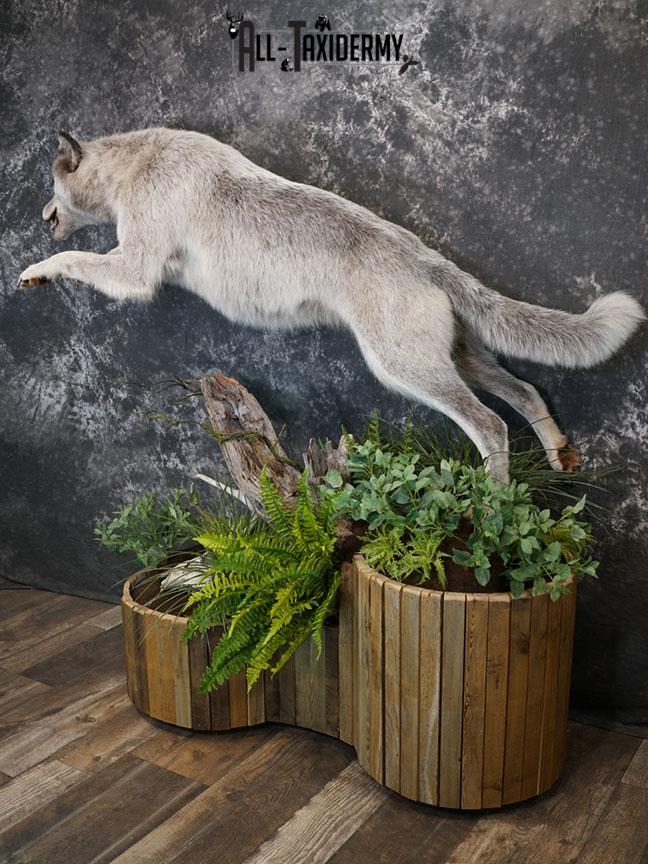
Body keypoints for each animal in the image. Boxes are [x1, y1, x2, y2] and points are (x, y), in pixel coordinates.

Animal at [19, 128, 644, 483]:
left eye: (51, 189)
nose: (43, 215)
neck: (135, 166)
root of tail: (429, 261)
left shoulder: (134, 268)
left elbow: (75, 256)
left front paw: (35, 272)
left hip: (405, 371)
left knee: (491, 425)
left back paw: (493, 510)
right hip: (460, 361)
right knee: (527, 391)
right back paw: (560, 456)